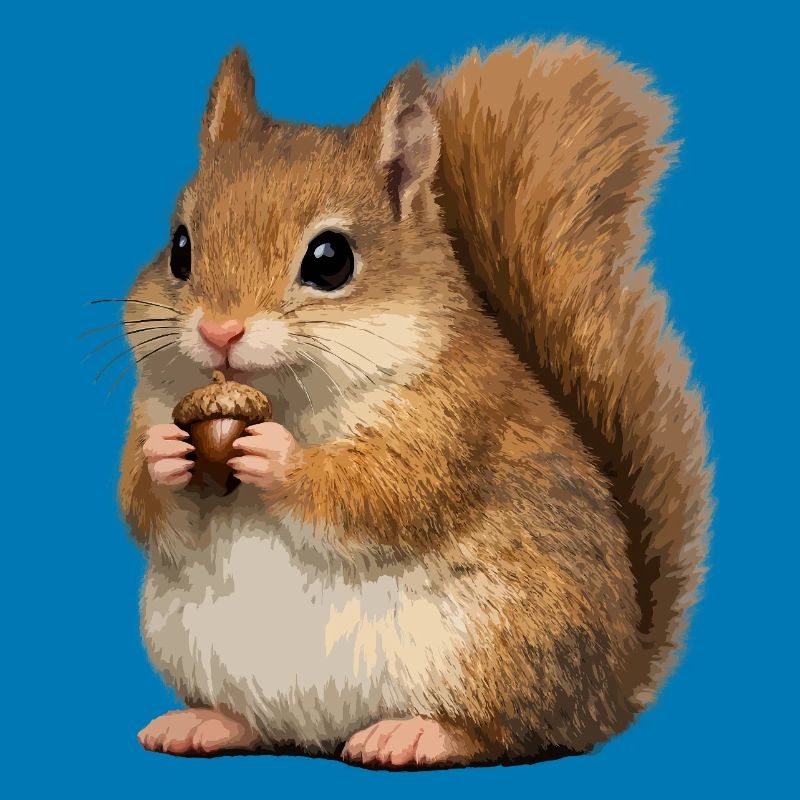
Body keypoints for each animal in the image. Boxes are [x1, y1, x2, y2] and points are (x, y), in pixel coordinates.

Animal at [119, 38, 712, 768]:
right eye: (179, 248)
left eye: (330, 259)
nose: (219, 332)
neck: (287, 395)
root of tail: (612, 690)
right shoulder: (151, 402)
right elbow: (143, 507)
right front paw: (163, 458)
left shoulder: (452, 417)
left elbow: (386, 491)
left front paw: (279, 458)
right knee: (259, 725)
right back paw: (206, 723)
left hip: (501, 647)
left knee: (507, 734)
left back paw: (416, 734)